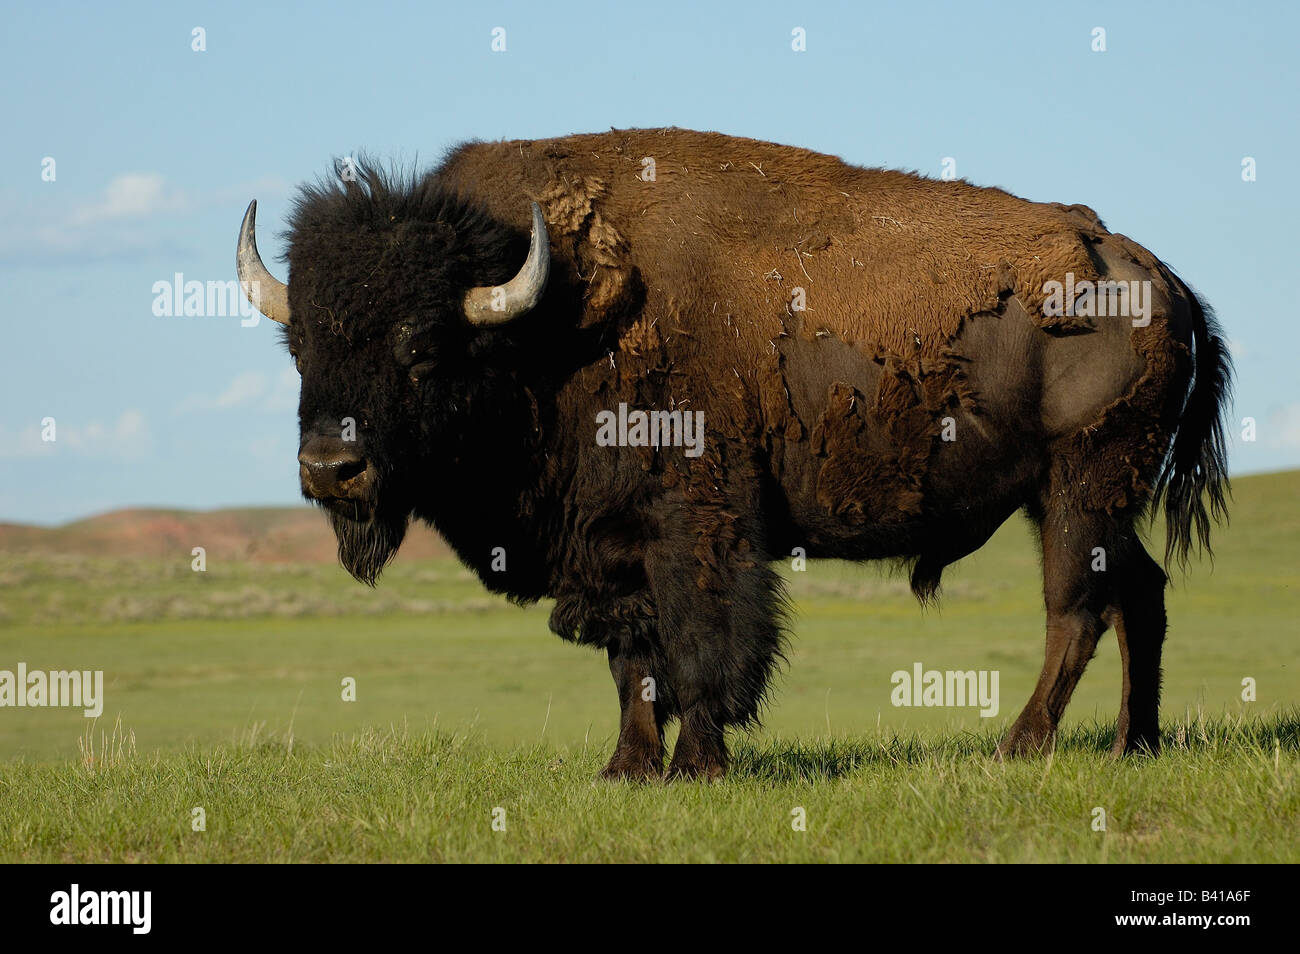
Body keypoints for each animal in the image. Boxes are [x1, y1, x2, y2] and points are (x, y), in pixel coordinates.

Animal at [236, 128, 1231, 780]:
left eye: (423, 347)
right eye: (301, 349)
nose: (330, 469)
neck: (548, 323)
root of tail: (1153, 271)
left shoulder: (697, 528)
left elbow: (697, 646)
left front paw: (698, 764)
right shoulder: (610, 546)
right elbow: (631, 658)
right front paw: (626, 768)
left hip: (1078, 489)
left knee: (1078, 611)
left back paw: (1019, 747)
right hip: (1086, 497)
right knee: (1141, 594)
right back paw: (1132, 745)